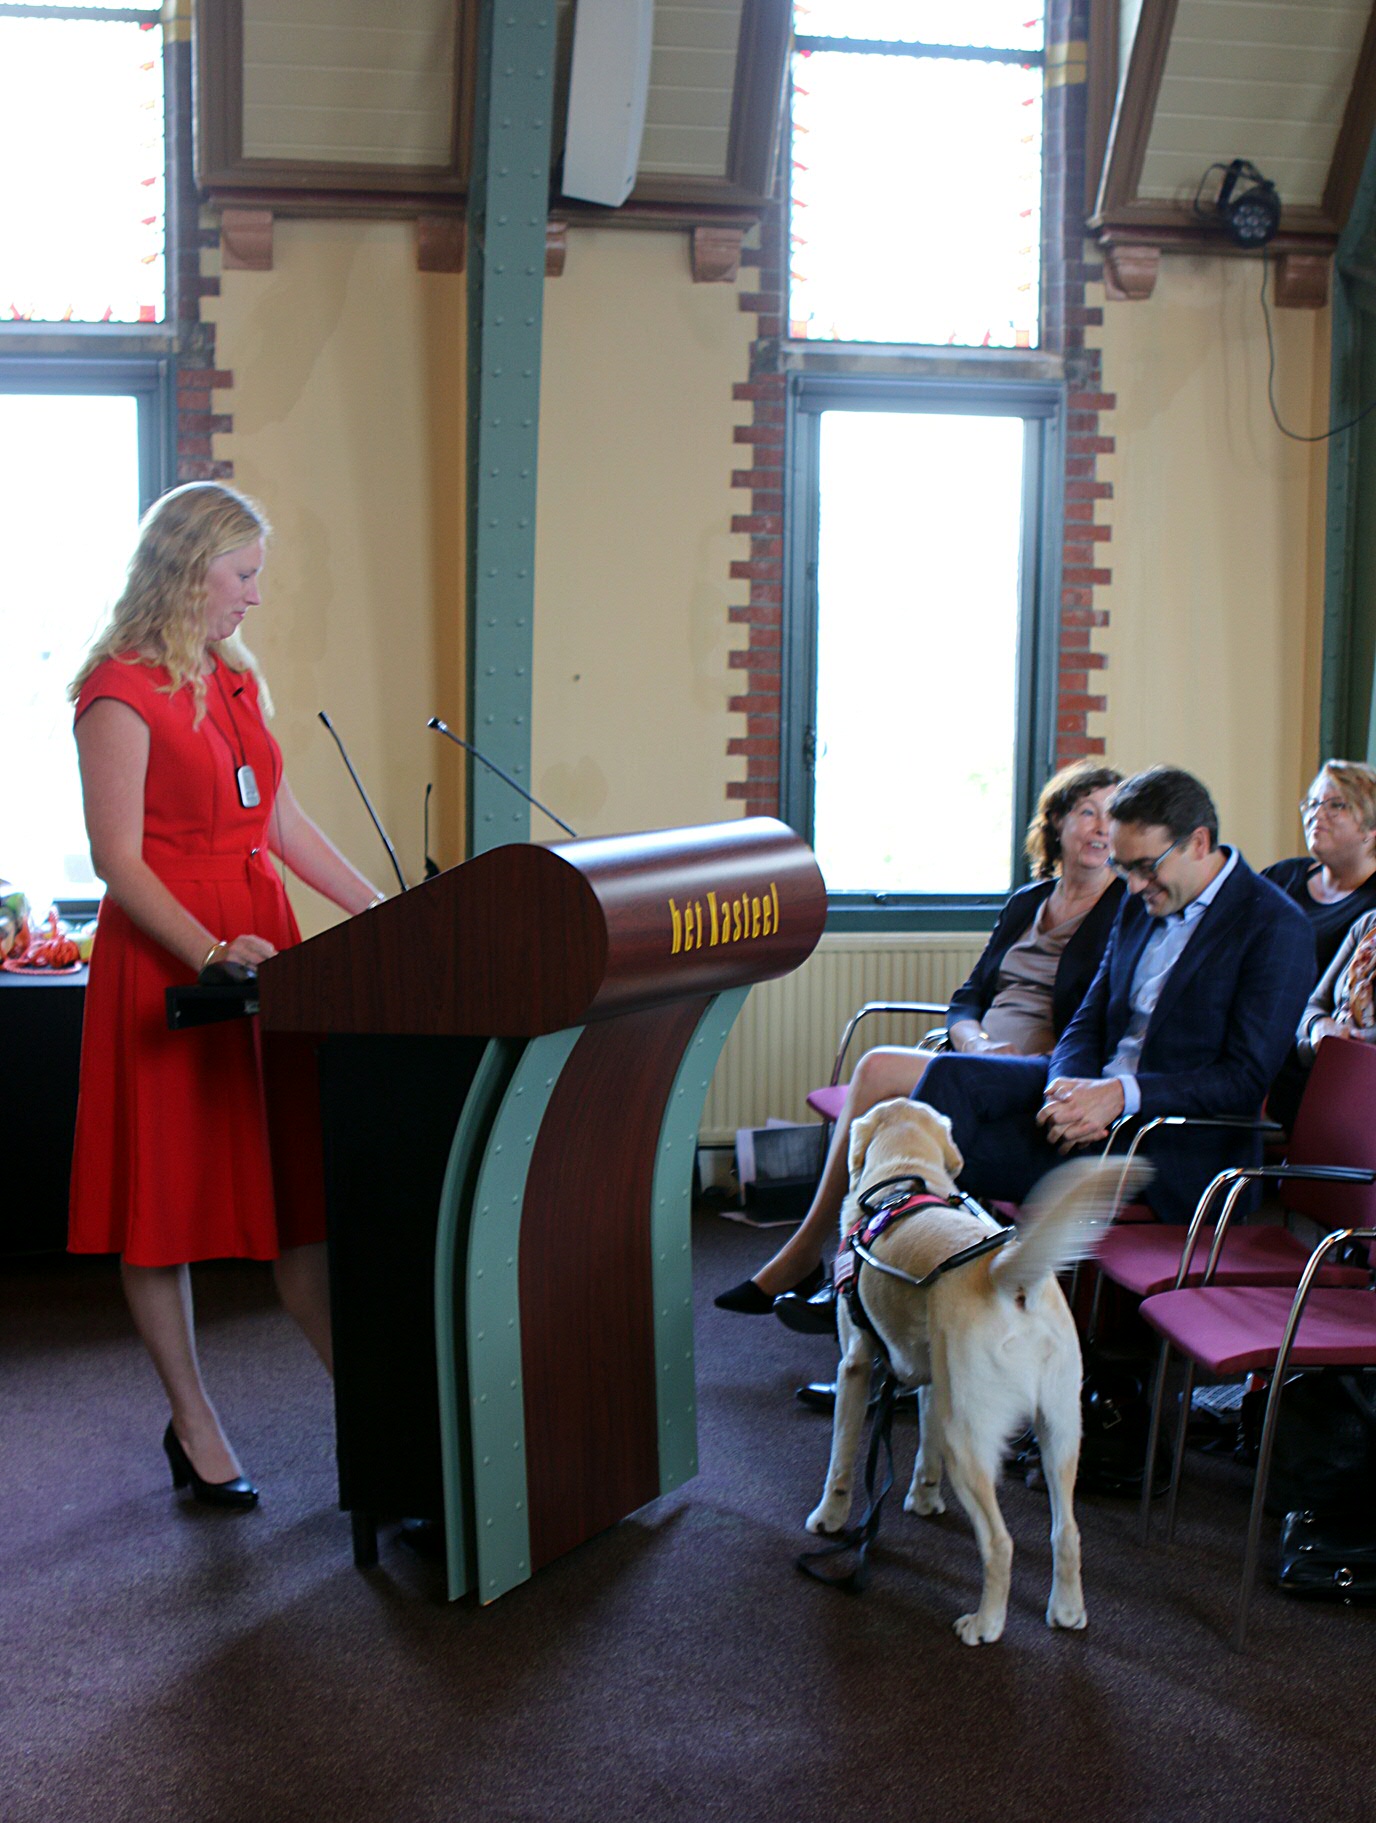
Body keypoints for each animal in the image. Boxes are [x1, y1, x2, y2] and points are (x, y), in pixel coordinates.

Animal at [805, 1093, 1151, 1655]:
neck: (903, 1176)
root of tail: (1006, 1277)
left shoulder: (855, 1363)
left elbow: (841, 1458)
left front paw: (829, 1518)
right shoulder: (930, 1378)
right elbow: (922, 1452)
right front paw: (924, 1498)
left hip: (965, 1435)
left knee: (1000, 1541)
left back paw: (985, 1623)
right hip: (1060, 1429)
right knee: (1066, 1531)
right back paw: (1067, 1610)